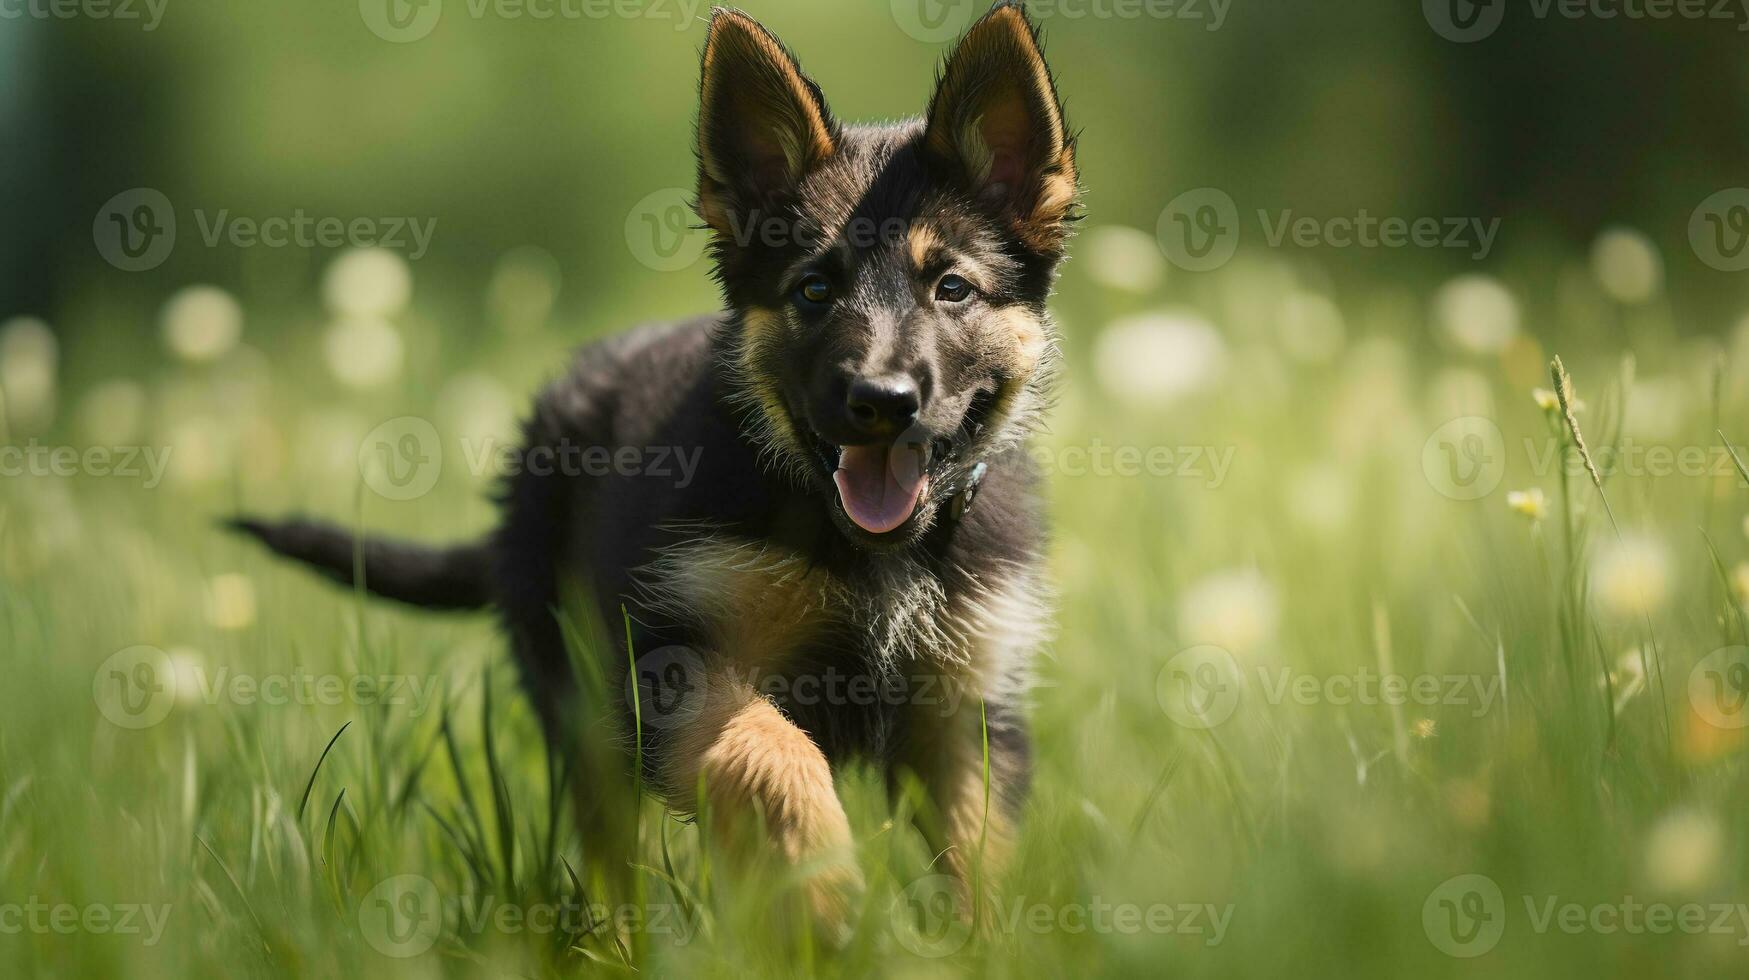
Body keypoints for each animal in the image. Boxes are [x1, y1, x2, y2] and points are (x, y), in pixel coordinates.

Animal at [234, 0, 1077, 931]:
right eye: (814, 290)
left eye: (952, 288)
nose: (880, 401)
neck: (865, 553)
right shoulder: (670, 665)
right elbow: (770, 750)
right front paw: (821, 886)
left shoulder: (965, 709)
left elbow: (977, 862)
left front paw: (977, 944)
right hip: (577, 695)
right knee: (615, 851)